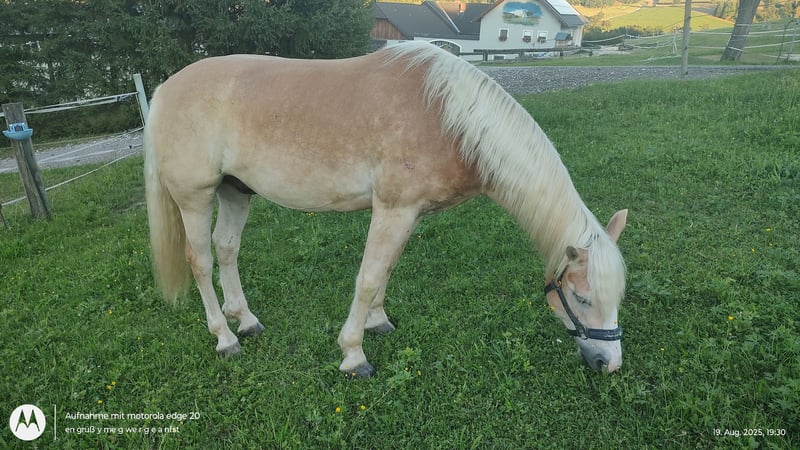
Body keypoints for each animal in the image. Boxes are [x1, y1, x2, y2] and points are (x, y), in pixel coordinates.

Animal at [144, 41, 628, 377]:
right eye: (582, 297)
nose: (609, 363)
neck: (448, 118)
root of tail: (166, 88)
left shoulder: (408, 215)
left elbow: (386, 270)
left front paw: (378, 323)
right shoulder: (393, 209)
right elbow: (369, 277)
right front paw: (353, 355)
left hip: (235, 192)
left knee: (227, 249)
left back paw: (245, 320)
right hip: (195, 197)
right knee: (201, 261)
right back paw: (225, 338)